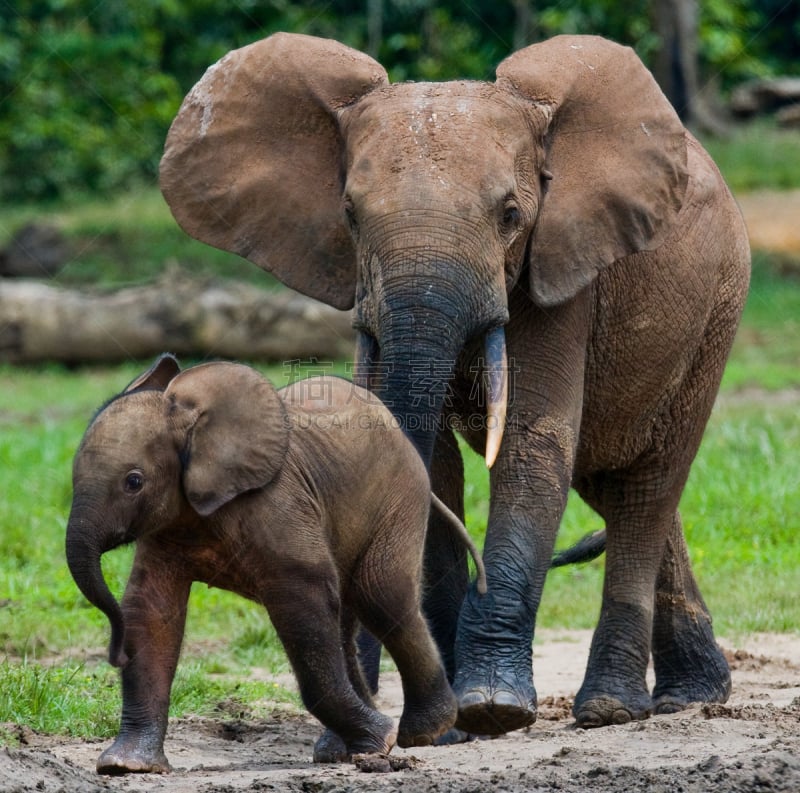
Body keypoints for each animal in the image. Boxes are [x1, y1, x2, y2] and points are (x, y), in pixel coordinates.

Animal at [65, 354, 482, 772]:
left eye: (134, 482)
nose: (115, 654)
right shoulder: (167, 528)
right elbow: (151, 612)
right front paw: (125, 766)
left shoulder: (278, 505)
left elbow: (302, 604)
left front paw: (383, 739)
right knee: (349, 614)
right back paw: (344, 751)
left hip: (399, 497)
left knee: (381, 596)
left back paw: (420, 733)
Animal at [161, 34, 752, 732]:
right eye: (350, 216)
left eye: (511, 215)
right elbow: (433, 461)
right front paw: (450, 727)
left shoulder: (558, 267)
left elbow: (531, 444)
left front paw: (492, 710)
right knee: (613, 479)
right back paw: (690, 695)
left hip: (716, 310)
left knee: (648, 485)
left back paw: (611, 709)